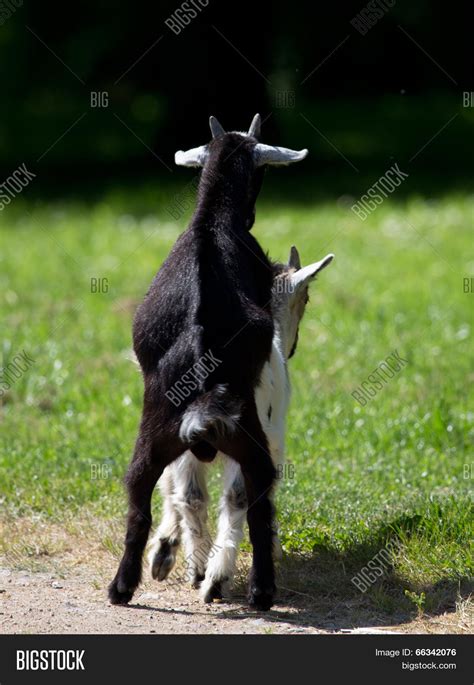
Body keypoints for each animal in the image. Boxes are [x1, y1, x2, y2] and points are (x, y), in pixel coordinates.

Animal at [108, 114, 309, 610]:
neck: (212, 217)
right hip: (251, 439)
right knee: (254, 503)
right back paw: (255, 589)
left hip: (155, 436)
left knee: (140, 496)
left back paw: (123, 587)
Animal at [147, 247, 334, 603]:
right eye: (306, 298)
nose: (293, 347)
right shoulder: (274, 441)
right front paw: (273, 546)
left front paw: (165, 549)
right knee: (235, 496)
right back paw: (216, 578)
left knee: (192, 494)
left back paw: (199, 568)